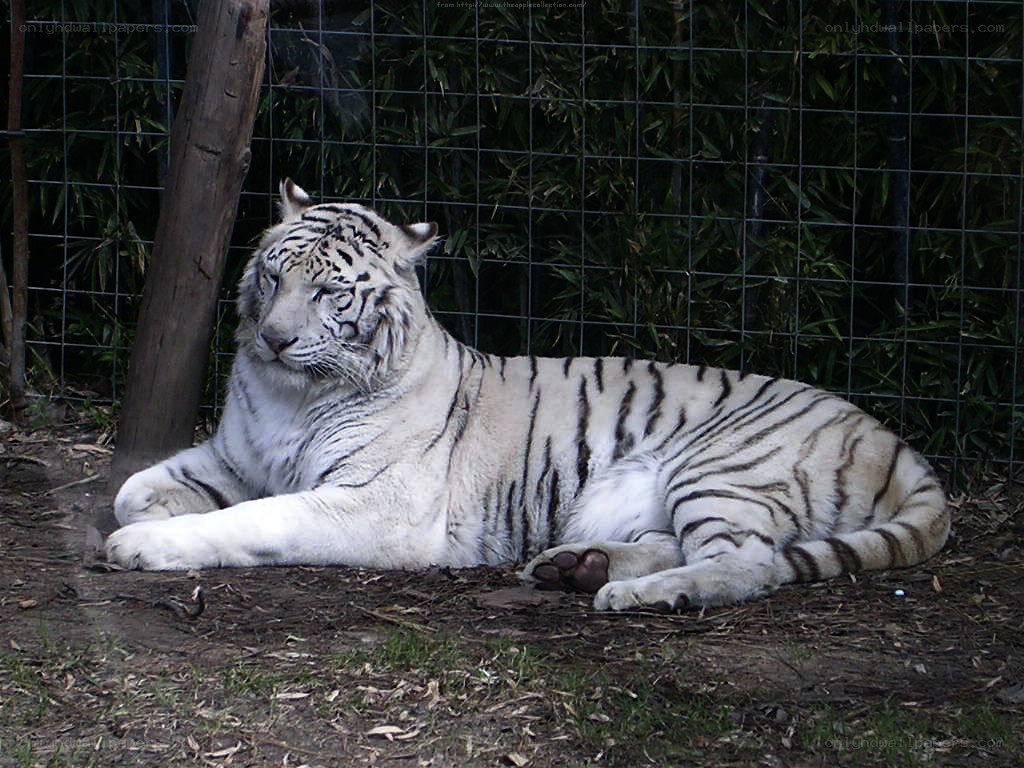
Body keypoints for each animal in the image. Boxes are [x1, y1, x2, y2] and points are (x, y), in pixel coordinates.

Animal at [105, 179, 951, 611]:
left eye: (329, 293)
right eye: (274, 275)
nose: (275, 339)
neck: (292, 392)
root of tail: (892, 439)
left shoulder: (374, 502)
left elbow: (253, 520)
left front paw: (144, 548)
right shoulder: (235, 457)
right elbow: (132, 490)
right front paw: (143, 517)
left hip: (721, 467)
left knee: (750, 565)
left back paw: (636, 594)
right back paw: (574, 566)